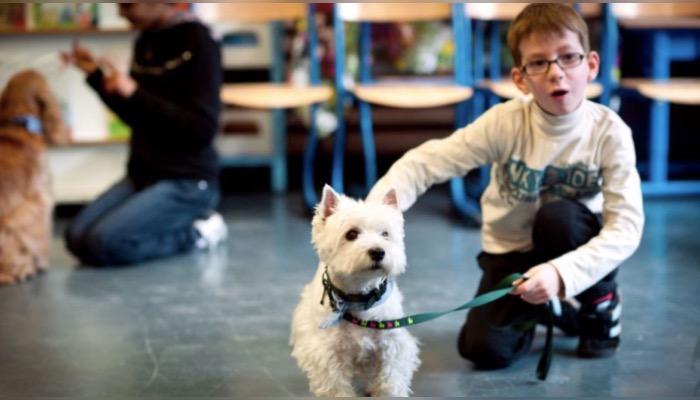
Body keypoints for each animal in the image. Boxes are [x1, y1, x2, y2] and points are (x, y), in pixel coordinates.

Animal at [292, 185, 422, 396]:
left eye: (385, 234)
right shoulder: (329, 353)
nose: (378, 252)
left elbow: (391, 378)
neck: (360, 297)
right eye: (351, 234)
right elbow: (336, 387)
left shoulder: (393, 343)